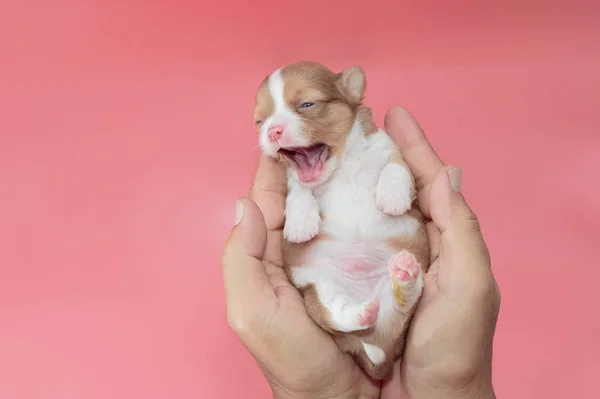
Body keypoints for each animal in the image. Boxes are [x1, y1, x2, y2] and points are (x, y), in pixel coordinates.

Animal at [251, 61, 428, 380]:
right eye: (260, 121)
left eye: (307, 104)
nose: (272, 131)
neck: (343, 162)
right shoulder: (295, 180)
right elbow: (298, 191)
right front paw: (299, 225)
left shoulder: (392, 153)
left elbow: (396, 169)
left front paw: (392, 198)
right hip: (318, 294)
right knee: (340, 314)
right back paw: (362, 312)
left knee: (403, 303)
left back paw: (404, 276)